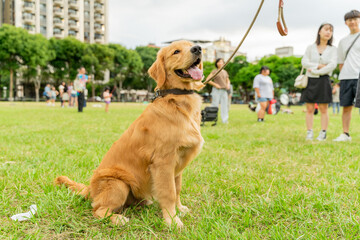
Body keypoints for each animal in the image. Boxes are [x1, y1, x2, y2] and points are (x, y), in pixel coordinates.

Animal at [54, 40, 204, 228]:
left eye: (191, 44)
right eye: (176, 51)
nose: (198, 48)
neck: (176, 100)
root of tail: (91, 189)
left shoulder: (178, 163)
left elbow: (177, 189)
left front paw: (180, 209)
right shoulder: (164, 161)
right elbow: (169, 192)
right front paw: (172, 220)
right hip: (118, 184)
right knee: (98, 210)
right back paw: (117, 219)